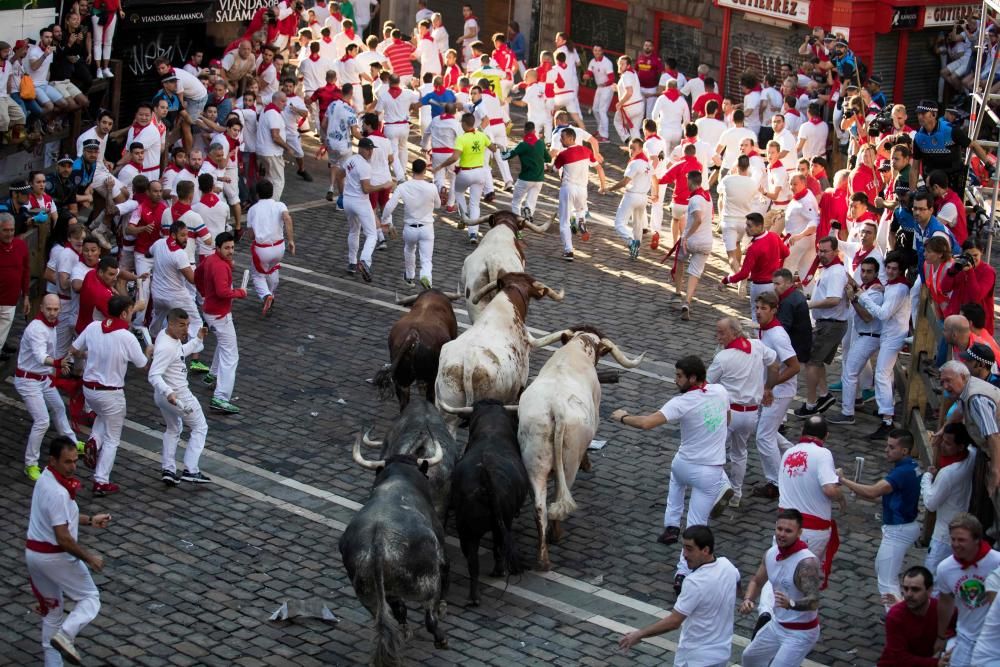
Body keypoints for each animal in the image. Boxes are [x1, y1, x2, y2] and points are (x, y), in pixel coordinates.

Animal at [342, 434, 452, 664]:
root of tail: (378, 543)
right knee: (429, 617)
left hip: (369, 595)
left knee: (393, 614)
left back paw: (403, 632)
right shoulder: (442, 554)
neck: (398, 479)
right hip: (426, 584)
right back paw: (440, 638)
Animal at [516, 326, 640, 572]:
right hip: (568, 464)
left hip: (534, 461)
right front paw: (588, 463)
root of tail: (556, 407)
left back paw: (543, 558)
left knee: (541, 508)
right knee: (558, 500)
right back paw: (555, 536)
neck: (575, 351)